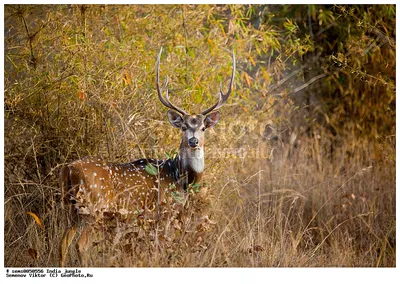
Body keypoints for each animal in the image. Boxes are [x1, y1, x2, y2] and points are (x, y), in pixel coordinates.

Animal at [59, 47, 234, 268]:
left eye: (203, 127)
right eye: (184, 127)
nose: (193, 141)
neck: (181, 178)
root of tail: (68, 169)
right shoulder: (164, 210)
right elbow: (160, 247)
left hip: (69, 205)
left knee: (63, 241)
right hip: (93, 206)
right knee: (80, 244)